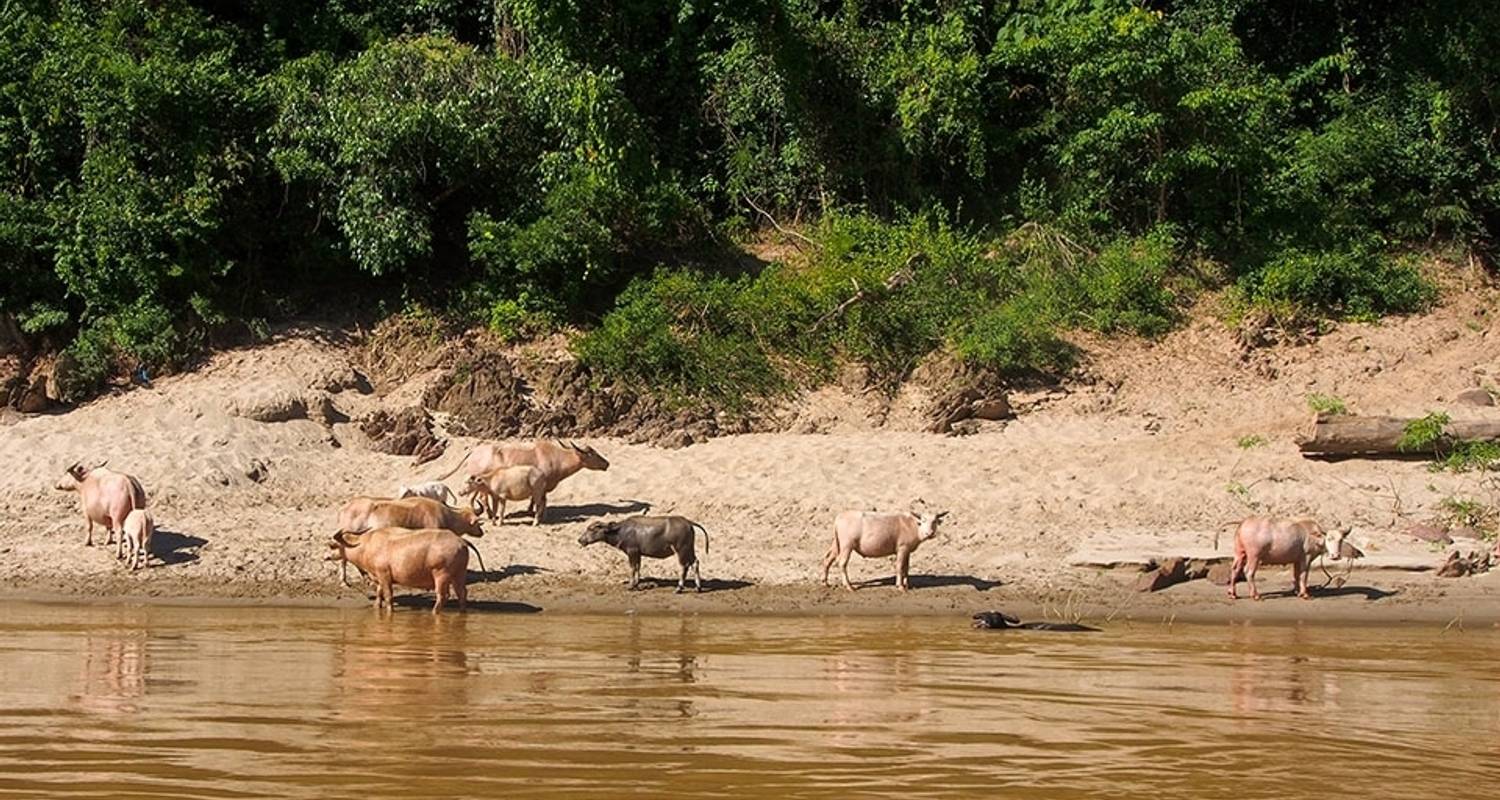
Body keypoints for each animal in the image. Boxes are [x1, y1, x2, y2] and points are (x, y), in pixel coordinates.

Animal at [328, 528, 480, 615]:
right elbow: (379, 593)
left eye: (332, 546)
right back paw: (462, 612)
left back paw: (434, 612)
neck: (366, 546)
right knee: (462, 593)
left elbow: (388, 596)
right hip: (458, 575)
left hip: (441, 575)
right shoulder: (379, 577)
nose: (326, 556)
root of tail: (460, 540)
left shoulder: (384, 575)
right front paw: (376, 606)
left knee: (443, 596)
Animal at [579, 513, 708, 588]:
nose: (580, 540)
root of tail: (688, 522)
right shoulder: (638, 553)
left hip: (681, 549)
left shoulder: (631, 551)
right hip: (689, 548)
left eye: (591, 529)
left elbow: (632, 568)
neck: (621, 531)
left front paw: (631, 585)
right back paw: (698, 587)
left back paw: (679, 588)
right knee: (695, 563)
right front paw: (636, 583)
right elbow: (638, 568)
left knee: (684, 566)